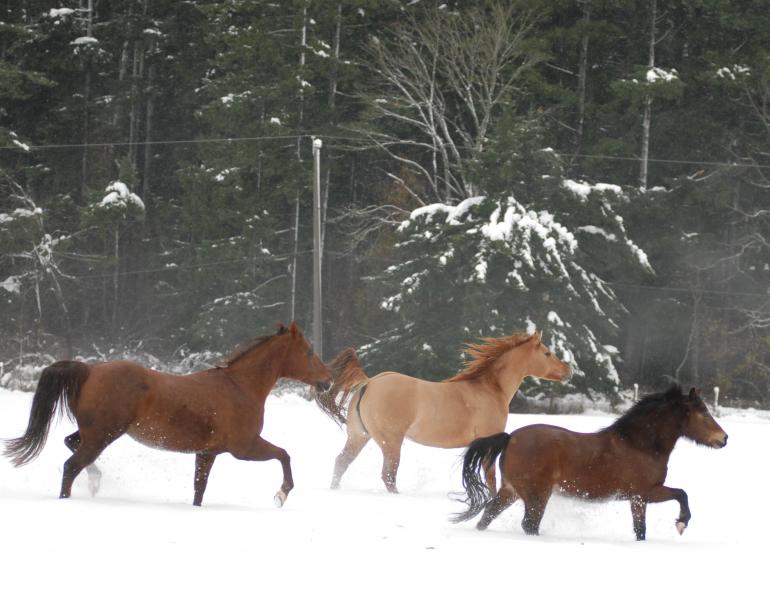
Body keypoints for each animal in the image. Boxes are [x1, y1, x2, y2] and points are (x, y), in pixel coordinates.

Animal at [4, 324, 332, 510]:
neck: (240, 386)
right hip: (102, 435)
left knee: (71, 446)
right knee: (71, 466)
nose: (327, 381)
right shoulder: (245, 447)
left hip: (95, 433)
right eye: (308, 352)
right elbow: (284, 455)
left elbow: (199, 489)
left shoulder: (207, 453)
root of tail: (90, 369)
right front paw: (281, 495)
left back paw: (96, 480)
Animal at [312, 330, 568, 494]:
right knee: (388, 475)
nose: (569, 370)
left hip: (359, 436)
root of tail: (369, 383)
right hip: (390, 442)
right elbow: (491, 478)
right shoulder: (489, 441)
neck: (489, 388)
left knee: (341, 462)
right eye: (547, 353)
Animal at [452, 384, 728, 544]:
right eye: (703, 413)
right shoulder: (645, 493)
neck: (639, 445)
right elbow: (680, 496)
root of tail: (510, 438)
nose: (724, 438)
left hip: (510, 491)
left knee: (487, 515)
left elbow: (642, 528)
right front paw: (682, 523)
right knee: (529, 524)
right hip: (537, 495)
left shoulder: (638, 498)